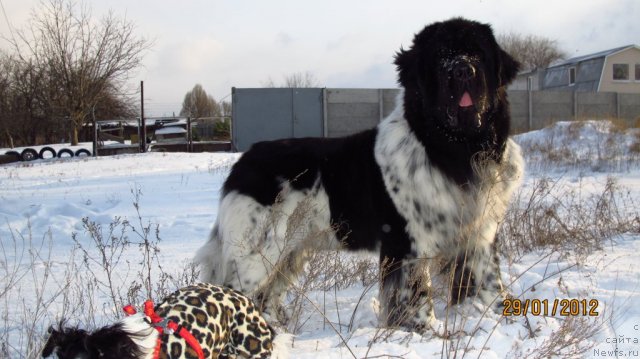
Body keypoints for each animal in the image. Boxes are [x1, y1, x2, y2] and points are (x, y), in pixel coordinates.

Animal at [196, 17, 524, 332]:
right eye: (440, 55)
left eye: (478, 53)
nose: (463, 70)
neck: (452, 148)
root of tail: (244, 160)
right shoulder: (408, 241)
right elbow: (417, 293)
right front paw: (428, 328)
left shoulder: (480, 231)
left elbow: (490, 280)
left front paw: (501, 315)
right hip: (257, 250)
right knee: (232, 292)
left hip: (290, 252)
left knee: (268, 294)